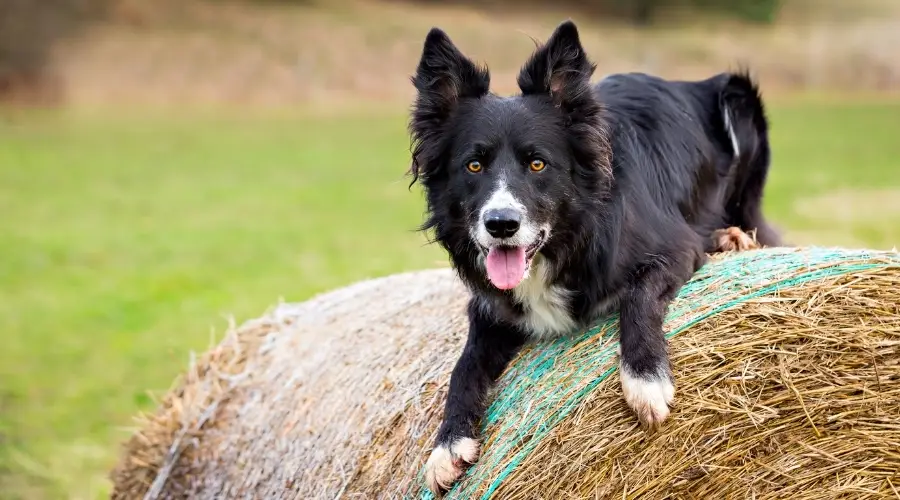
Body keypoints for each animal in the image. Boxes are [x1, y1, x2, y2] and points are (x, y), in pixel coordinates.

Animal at [410, 18, 780, 492]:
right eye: (473, 166)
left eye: (537, 164)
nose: (501, 224)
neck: (570, 239)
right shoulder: (490, 307)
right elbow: (464, 365)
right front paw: (448, 442)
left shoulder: (676, 247)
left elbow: (638, 297)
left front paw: (645, 379)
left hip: (739, 100)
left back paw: (732, 236)